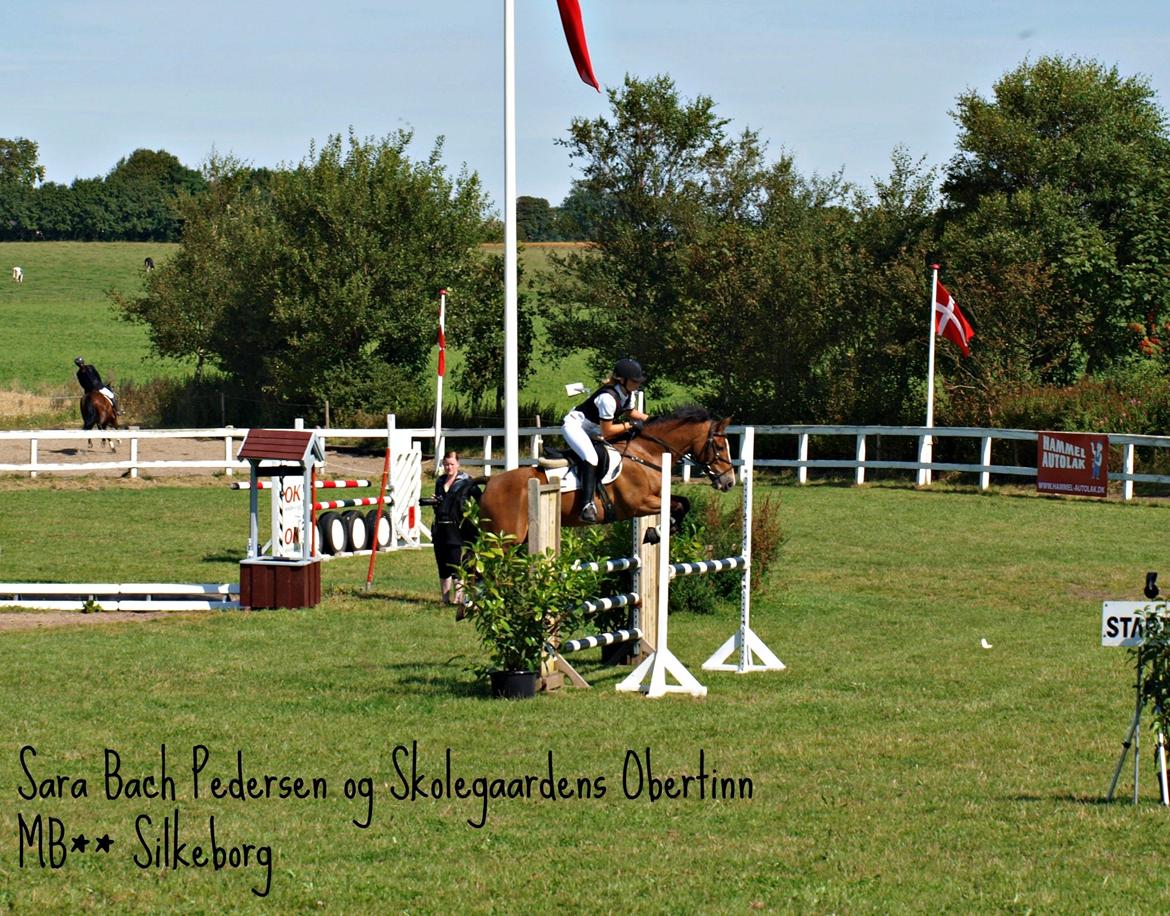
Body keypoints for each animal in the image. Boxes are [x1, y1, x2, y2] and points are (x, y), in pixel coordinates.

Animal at [472, 407, 730, 545]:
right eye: (719, 447)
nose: (729, 481)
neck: (645, 454)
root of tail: (491, 482)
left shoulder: (656, 495)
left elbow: (682, 504)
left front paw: (659, 531)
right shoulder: (638, 504)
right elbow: (674, 506)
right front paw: (657, 531)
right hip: (504, 538)